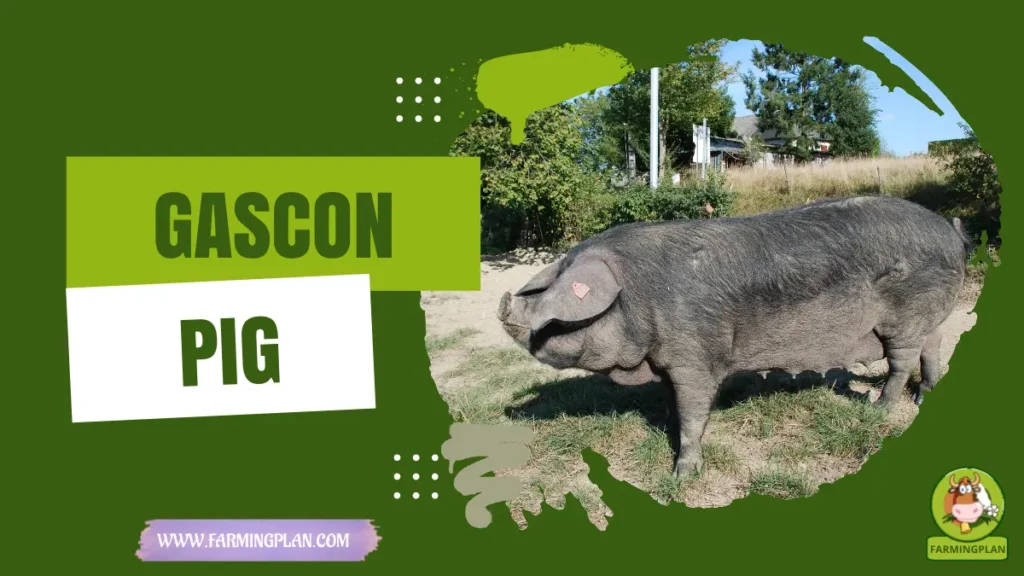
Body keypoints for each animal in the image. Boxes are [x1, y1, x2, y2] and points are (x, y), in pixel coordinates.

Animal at [497, 195, 973, 477]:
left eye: (556, 317)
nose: (506, 307)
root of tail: (950, 231)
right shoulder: (671, 360)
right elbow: (673, 403)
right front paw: (666, 429)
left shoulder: (696, 352)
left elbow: (693, 410)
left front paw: (682, 475)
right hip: (930, 315)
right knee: (934, 347)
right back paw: (924, 397)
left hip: (903, 317)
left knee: (902, 361)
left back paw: (880, 410)